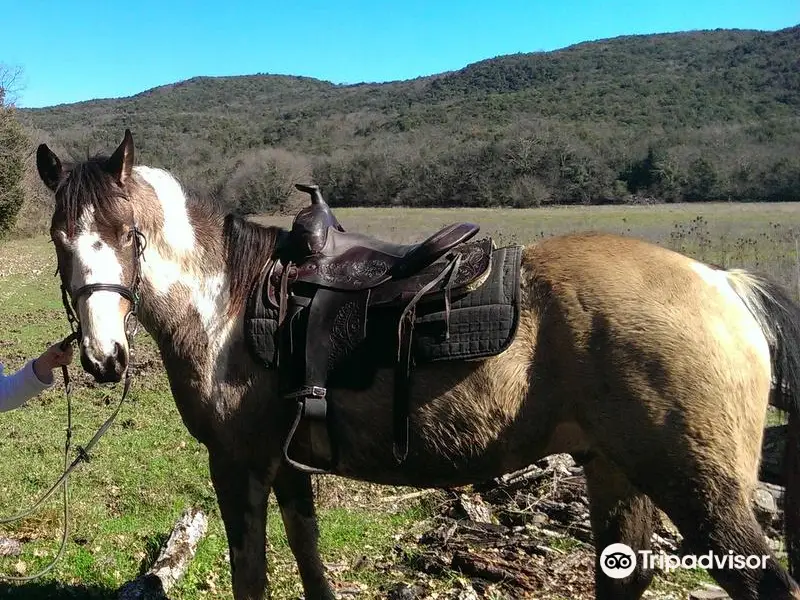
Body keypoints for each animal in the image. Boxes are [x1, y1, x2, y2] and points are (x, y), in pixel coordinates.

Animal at [36, 131, 800, 600]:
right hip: (617, 469)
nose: (103, 358)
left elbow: (252, 575)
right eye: (60, 239)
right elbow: (308, 555)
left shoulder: (239, 463)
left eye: (129, 235)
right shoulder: (286, 463)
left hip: (699, 491)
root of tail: (722, 283)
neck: (229, 300)